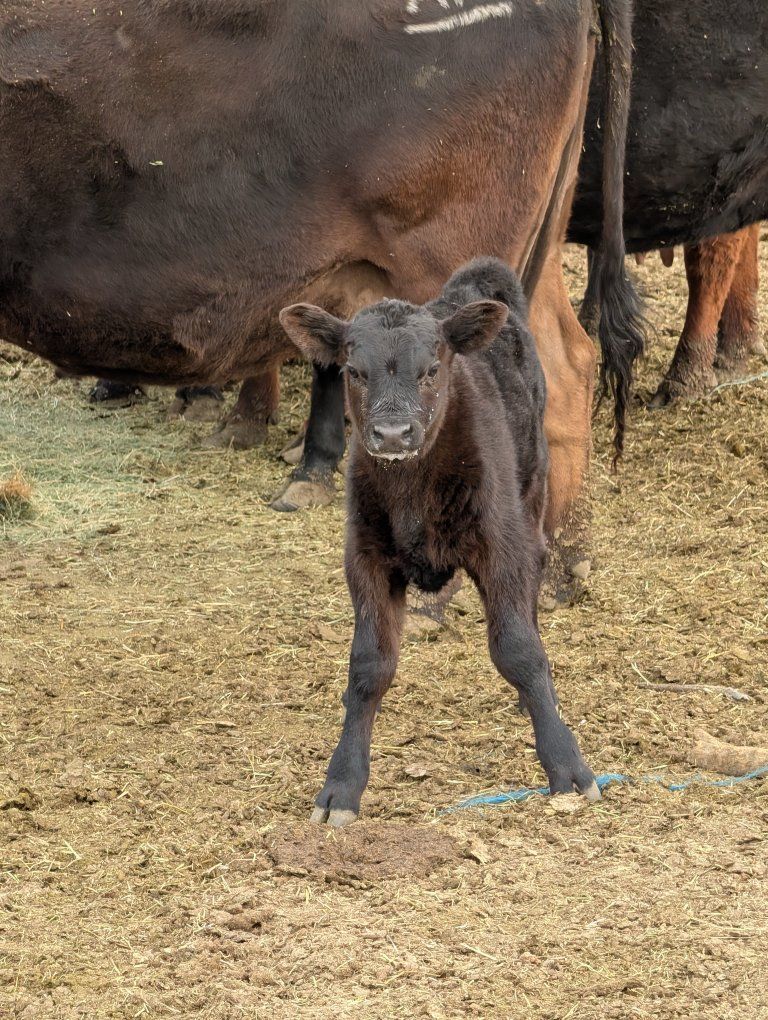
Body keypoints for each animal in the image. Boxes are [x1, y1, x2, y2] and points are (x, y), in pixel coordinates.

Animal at [280, 258, 600, 825]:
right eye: (354, 371)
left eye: (431, 369)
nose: (391, 434)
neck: (413, 492)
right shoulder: (365, 558)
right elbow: (369, 665)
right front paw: (342, 785)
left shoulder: (500, 546)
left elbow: (518, 649)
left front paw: (566, 764)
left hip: (532, 490)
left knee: (535, 583)